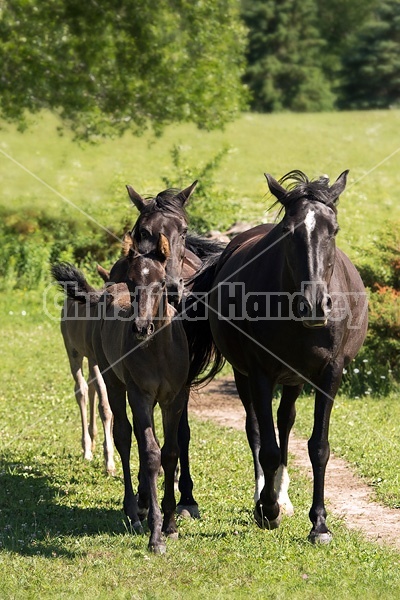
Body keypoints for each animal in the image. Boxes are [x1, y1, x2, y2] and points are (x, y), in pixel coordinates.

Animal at [55, 233, 190, 552]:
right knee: (123, 436)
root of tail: (105, 291)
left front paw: (170, 525)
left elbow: (171, 452)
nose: (141, 327)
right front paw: (155, 535)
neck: (159, 351)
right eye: (132, 282)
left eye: (161, 282)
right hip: (112, 380)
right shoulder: (139, 395)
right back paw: (132, 511)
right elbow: (151, 453)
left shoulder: (175, 399)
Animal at [188, 170, 368, 544]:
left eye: (334, 229)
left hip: (295, 378)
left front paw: (319, 524)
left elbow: (318, 447)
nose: (314, 305)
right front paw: (267, 509)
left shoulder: (330, 374)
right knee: (256, 428)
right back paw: (266, 498)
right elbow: (267, 447)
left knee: (285, 422)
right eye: (288, 230)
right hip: (245, 375)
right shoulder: (259, 373)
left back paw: (283, 496)